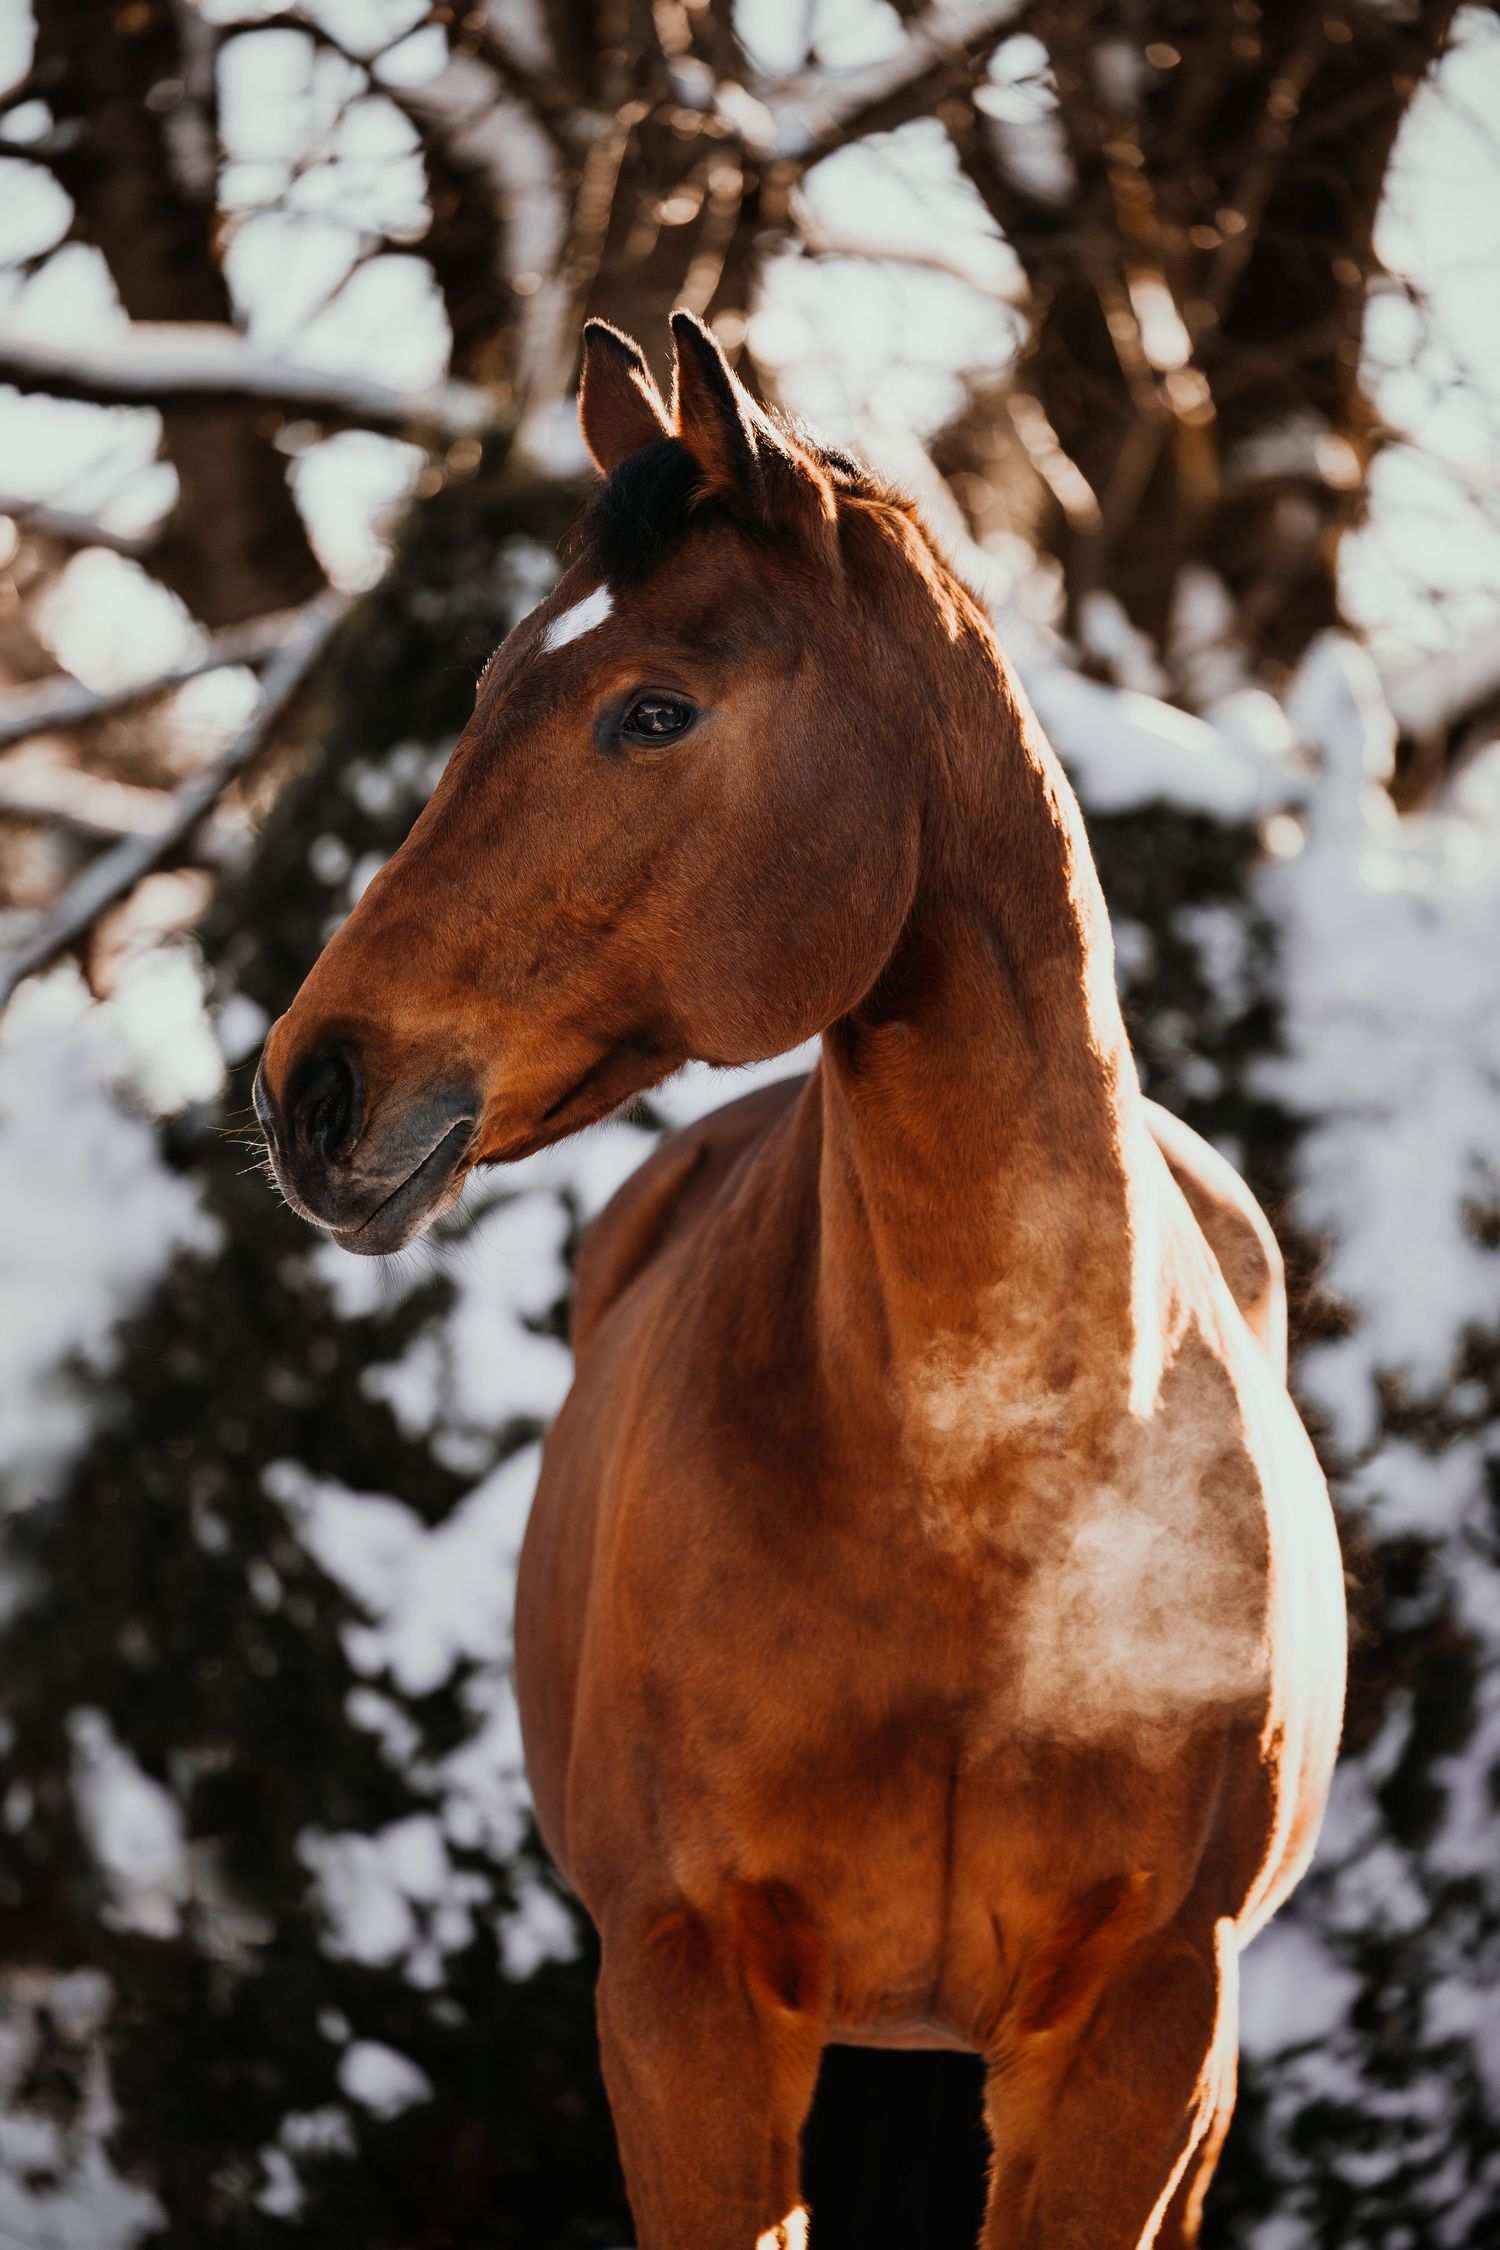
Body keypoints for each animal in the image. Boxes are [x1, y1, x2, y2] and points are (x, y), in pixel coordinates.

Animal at [256, 310, 1346, 2250]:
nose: (313, 1090)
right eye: (487, 689)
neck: (988, 1508)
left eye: (654, 708)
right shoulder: (685, 1994)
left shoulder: (1147, 2027)